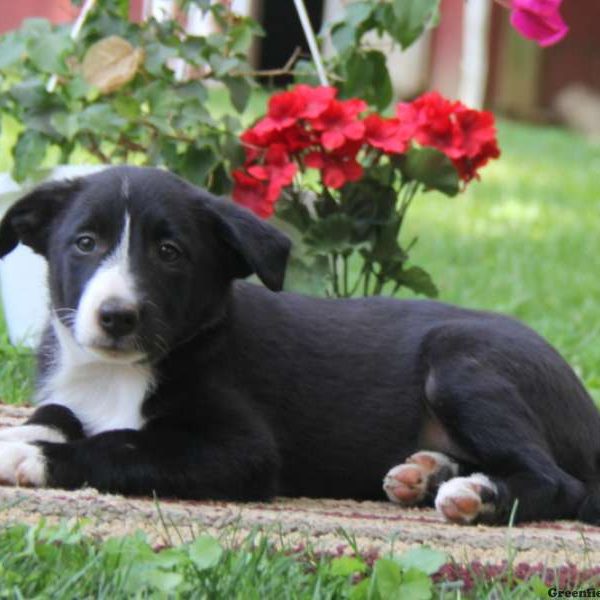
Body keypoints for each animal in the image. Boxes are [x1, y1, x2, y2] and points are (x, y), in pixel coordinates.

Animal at [1, 165, 600, 524]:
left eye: (170, 252)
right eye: (84, 243)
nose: (116, 317)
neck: (116, 374)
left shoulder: (242, 450)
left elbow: (122, 443)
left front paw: (30, 456)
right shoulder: (72, 393)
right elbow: (55, 412)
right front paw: (23, 432)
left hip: (462, 363)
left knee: (562, 483)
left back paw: (473, 495)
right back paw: (426, 473)